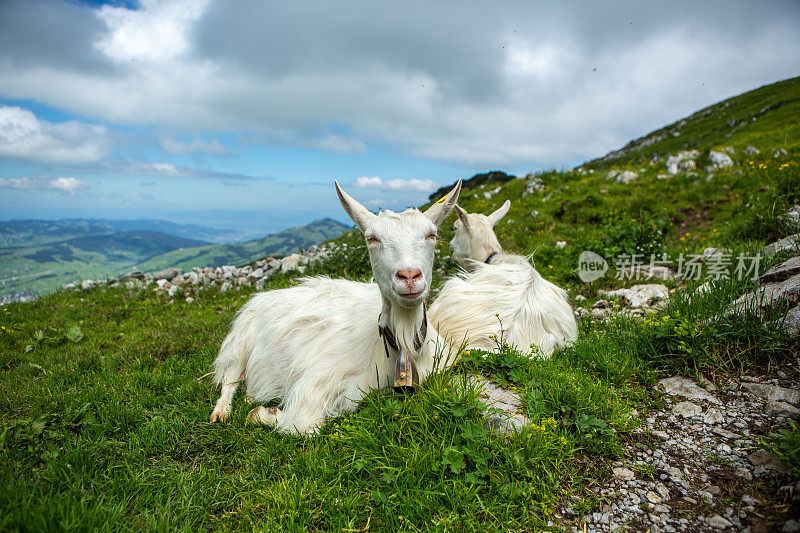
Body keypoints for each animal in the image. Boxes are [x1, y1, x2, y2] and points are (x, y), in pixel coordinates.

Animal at [211, 181, 462, 434]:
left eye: (431, 234)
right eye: (372, 239)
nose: (409, 276)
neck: (405, 347)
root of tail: (267, 294)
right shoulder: (316, 380)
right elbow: (302, 424)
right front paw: (265, 413)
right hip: (240, 340)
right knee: (230, 379)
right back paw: (222, 412)